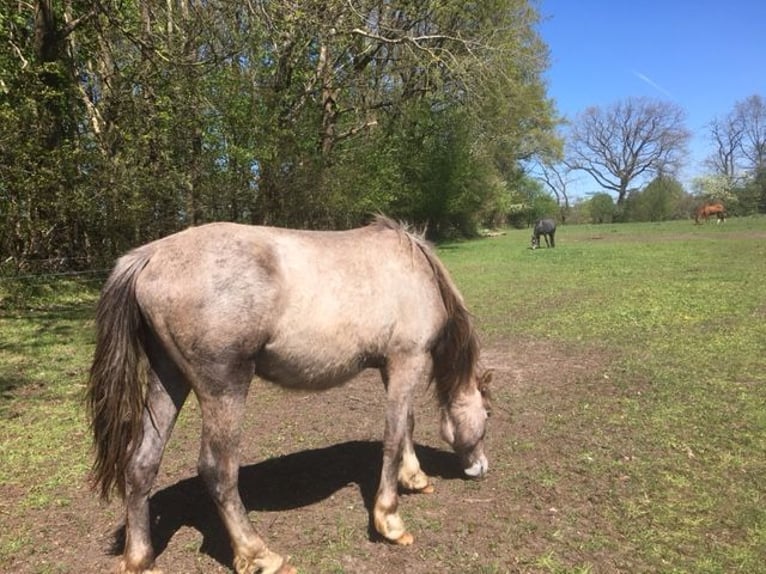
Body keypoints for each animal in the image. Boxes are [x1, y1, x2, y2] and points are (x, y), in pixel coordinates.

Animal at [87, 215, 491, 574]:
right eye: (488, 416)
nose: (480, 468)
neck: (416, 269)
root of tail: (151, 256)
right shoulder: (408, 360)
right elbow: (393, 436)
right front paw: (389, 520)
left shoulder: (390, 367)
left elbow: (406, 423)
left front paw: (415, 478)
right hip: (224, 387)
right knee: (218, 469)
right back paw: (260, 554)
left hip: (168, 379)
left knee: (141, 463)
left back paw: (140, 558)